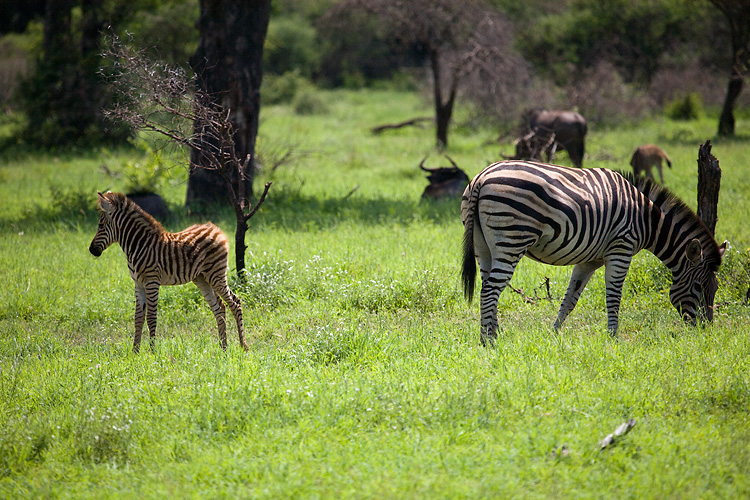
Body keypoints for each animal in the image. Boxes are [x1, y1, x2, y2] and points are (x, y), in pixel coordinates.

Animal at [88, 190, 247, 352]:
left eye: (100, 225)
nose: (91, 250)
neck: (139, 245)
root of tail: (215, 228)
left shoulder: (152, 282)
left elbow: (151, 317)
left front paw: (152, 352)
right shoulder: (138, 284)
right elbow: (138, 318)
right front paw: (135, 352)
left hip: (216, 274)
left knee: (235, 303)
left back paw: (243, 346)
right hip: (202, 278)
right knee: (220, 308)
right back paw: (224, 348)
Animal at [464, 160, 728, 344]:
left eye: (715, 289)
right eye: (698, 287)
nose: (706, 331)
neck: (648, 220)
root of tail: (481, 177)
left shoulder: (590, 260)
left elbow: (570, 299)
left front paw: (554, 334)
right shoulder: (621, 249)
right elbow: (613, 297)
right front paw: (613, 338)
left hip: (484, 246)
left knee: (487, 287)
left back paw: (493, 333)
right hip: (512, 239)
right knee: (490, 290)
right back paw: (488, 341)